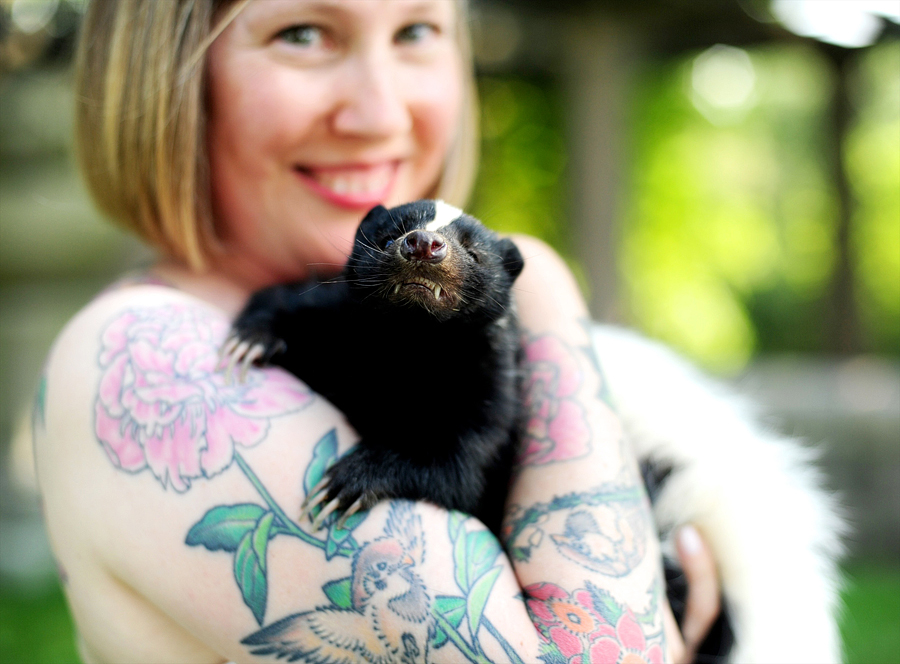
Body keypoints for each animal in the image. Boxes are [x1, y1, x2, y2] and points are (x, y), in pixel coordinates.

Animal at [224, 198, 524, 536]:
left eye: (474, 253)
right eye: (390, 236)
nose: (423, 243)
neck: (408, 341)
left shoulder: (490, 387)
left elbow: (460, 466)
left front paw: (347, 483)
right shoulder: (336, 311)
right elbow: (283, 299)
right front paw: (252, 339)